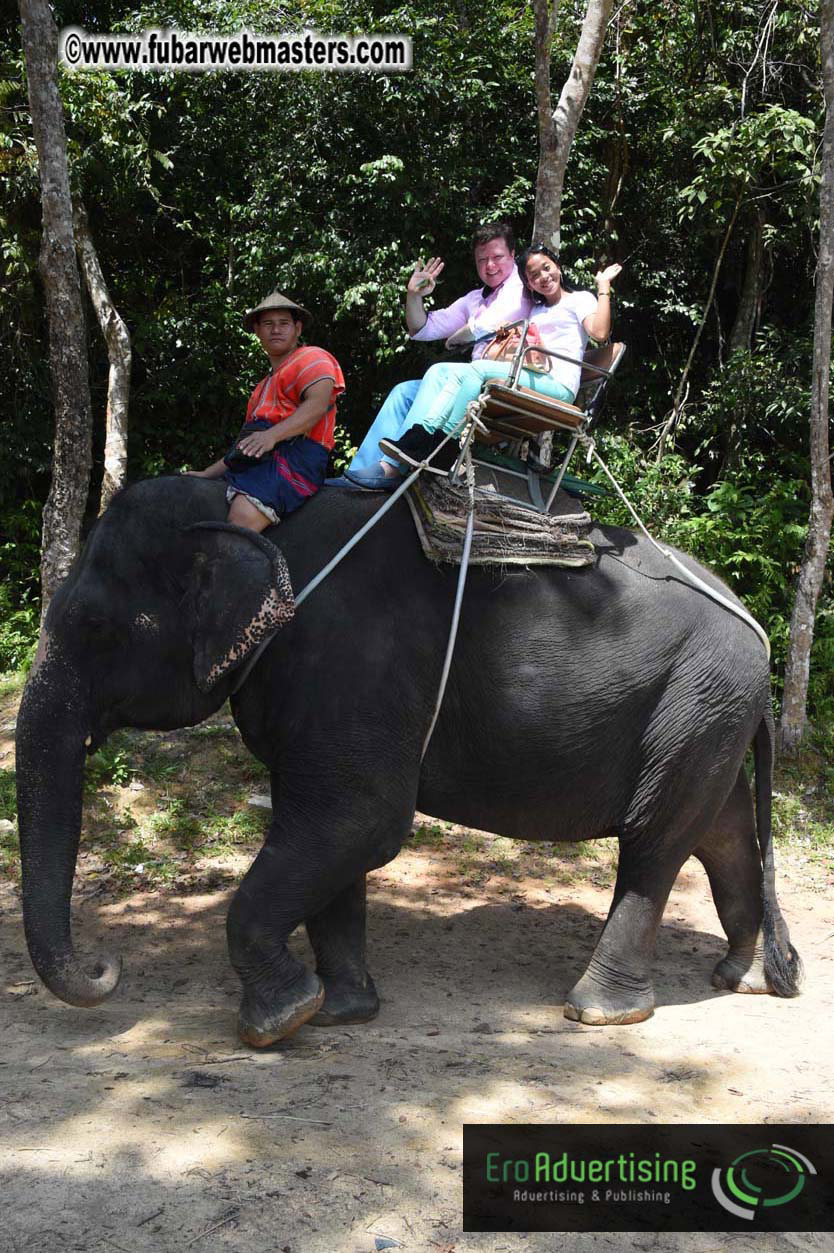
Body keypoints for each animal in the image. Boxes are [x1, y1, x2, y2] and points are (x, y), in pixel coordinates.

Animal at [15, 475, 802, 1047]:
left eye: (96, 627)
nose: (105, 966)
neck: (249, 519)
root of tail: (760, 636)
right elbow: (328, 832)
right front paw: (341, 1012)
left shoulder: (348, 663)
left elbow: (362, 823)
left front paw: (278, 1022)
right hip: (709, 713)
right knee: (719, 832)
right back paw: (736, 974)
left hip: (695, 700)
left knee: (653, 843)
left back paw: (600, 1013)